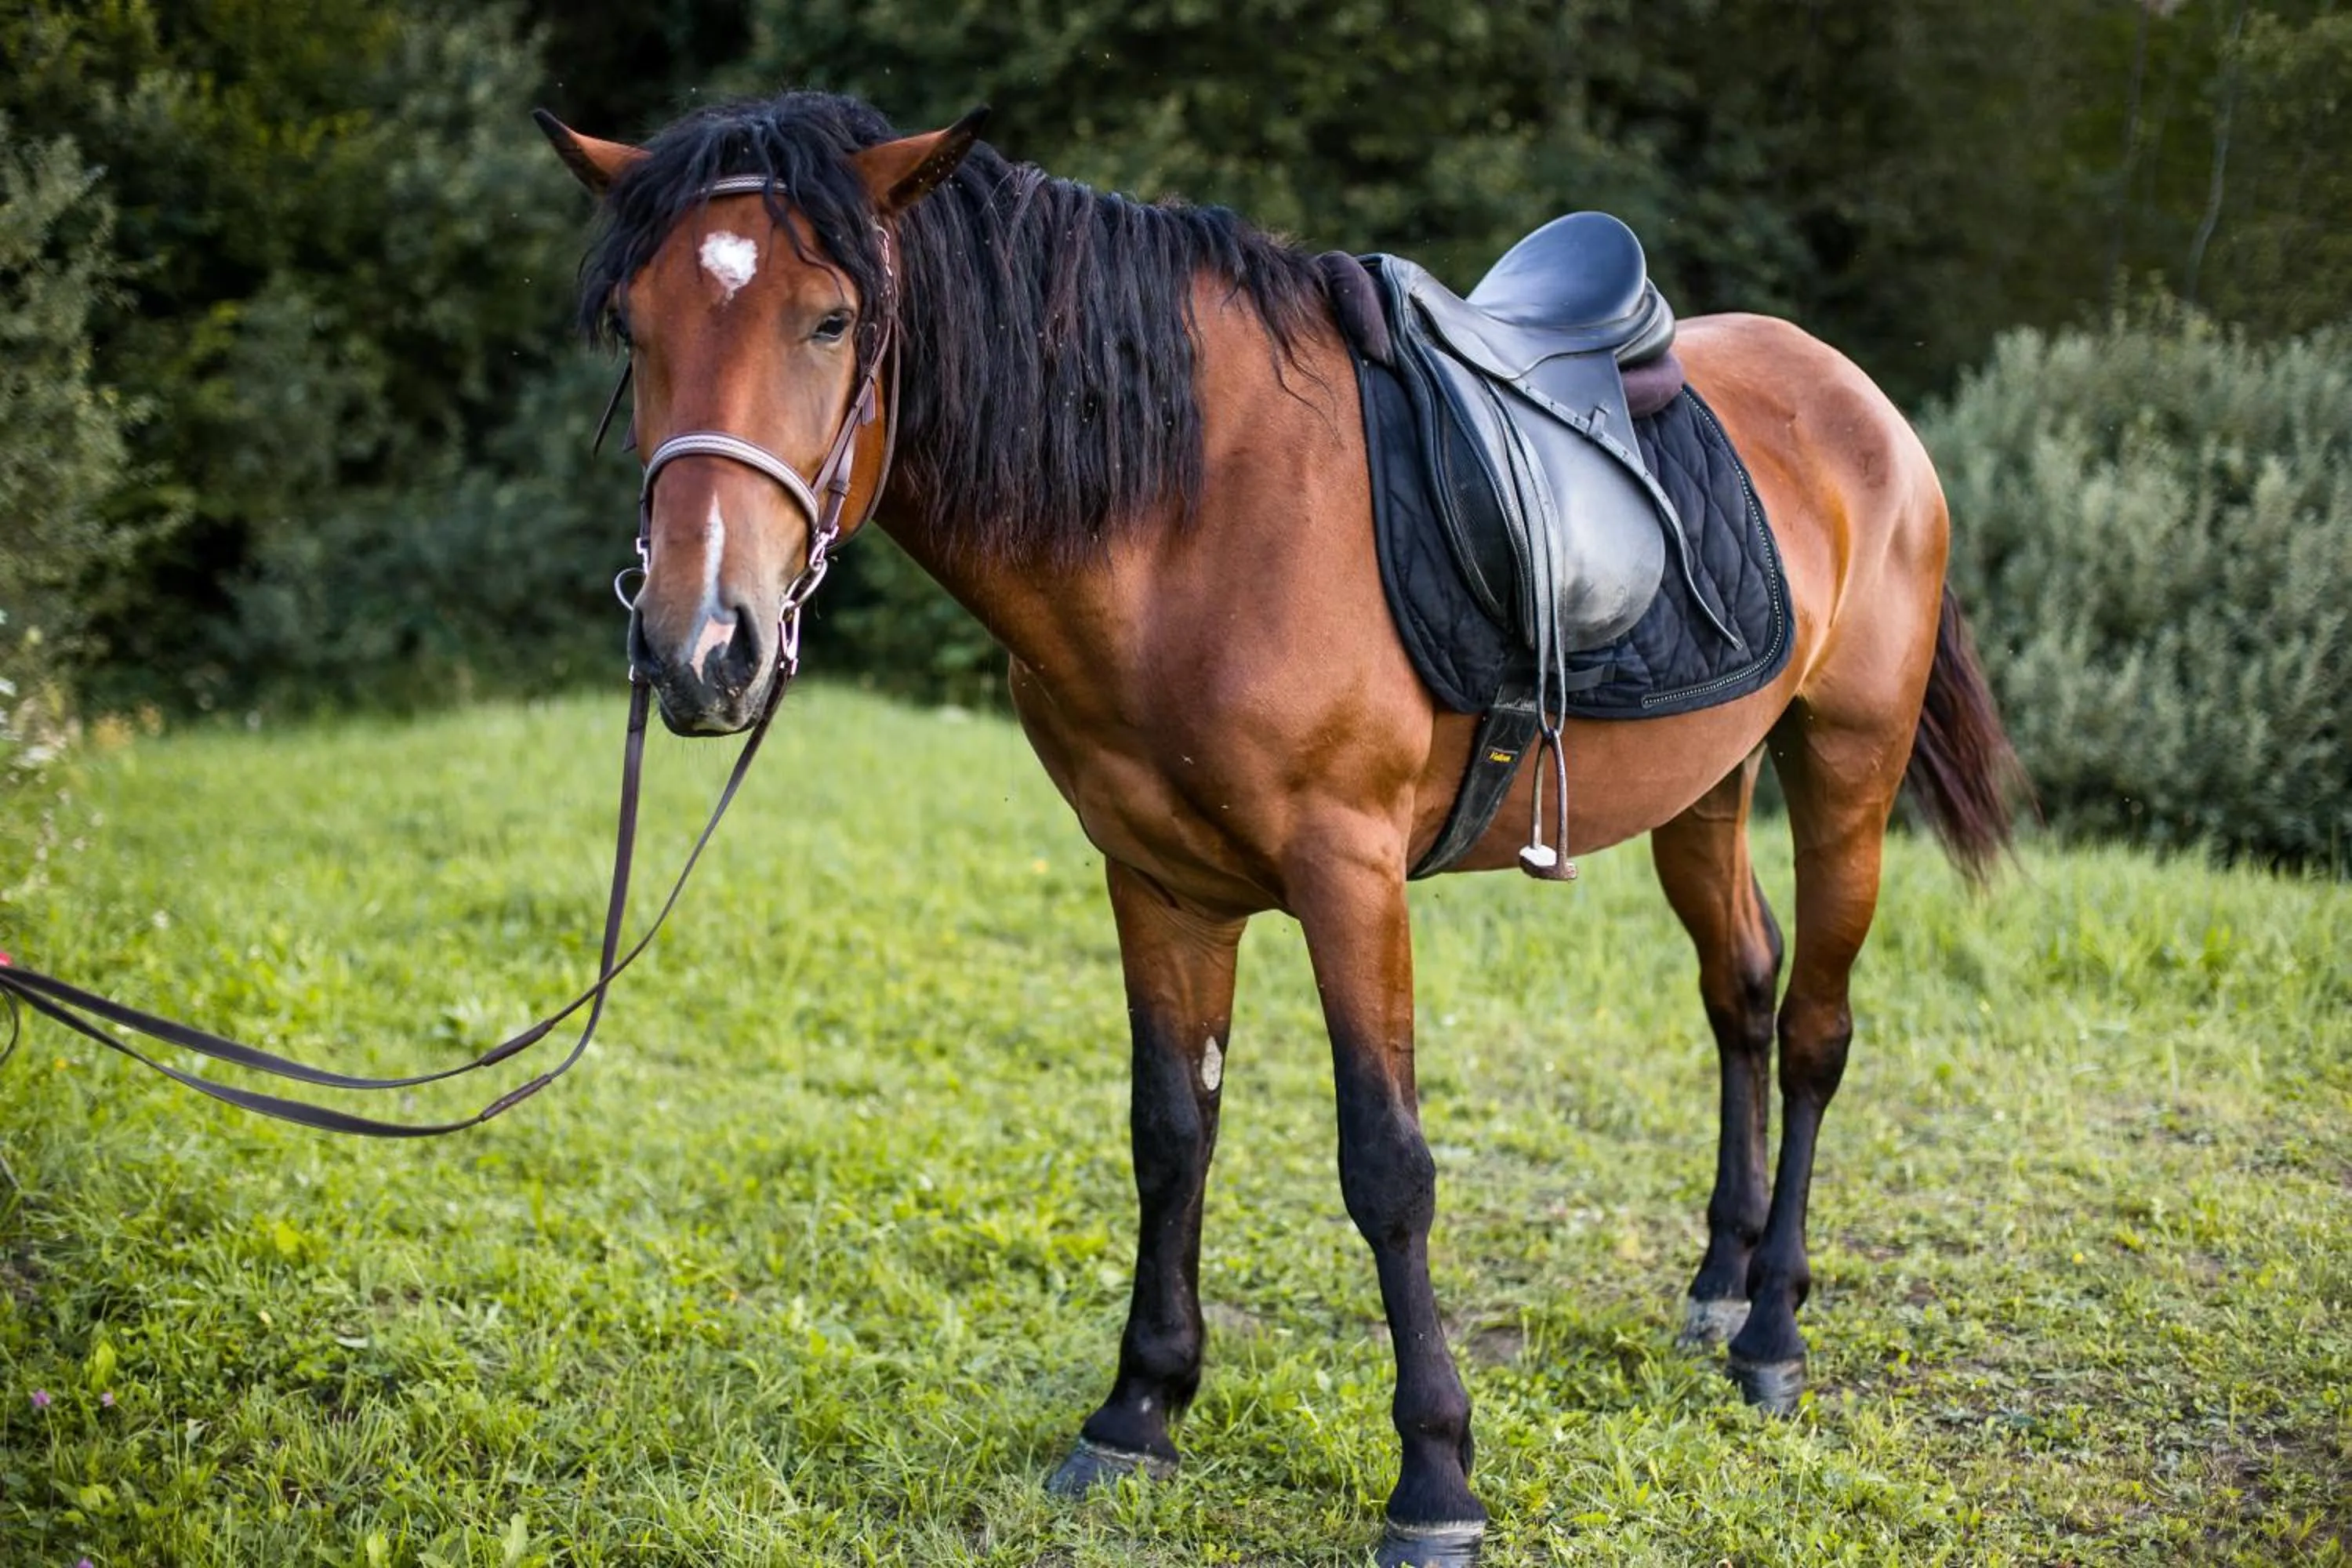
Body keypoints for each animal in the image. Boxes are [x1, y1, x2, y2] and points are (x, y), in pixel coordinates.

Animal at [533, 91, 2020, 1567]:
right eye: (636, 327)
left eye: (832, 320)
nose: (698, 645)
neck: (1188, 518)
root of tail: (1854, 398)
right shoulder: (1155, 880)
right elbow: (1168, 1134)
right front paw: (1137, 1412)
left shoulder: (1350, 872)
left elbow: (1388, 1165)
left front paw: (1435, 1480)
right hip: (1704, 789)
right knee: (1742, 991)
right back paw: (1718, 1280)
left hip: (1848, 766)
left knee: (1818, 1028)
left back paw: (1771, 1331)